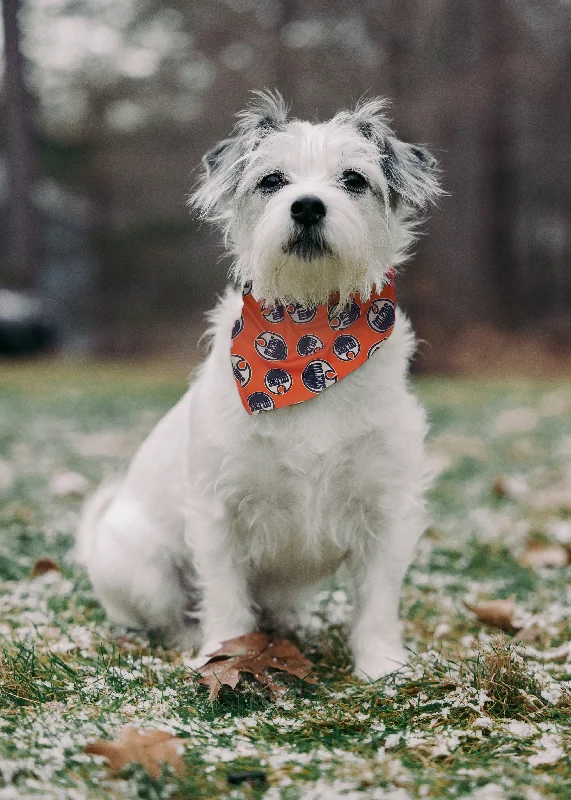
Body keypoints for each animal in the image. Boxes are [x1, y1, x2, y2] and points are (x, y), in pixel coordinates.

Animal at [77, 94, 442, 680]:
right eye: (272, 179)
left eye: (354, 179)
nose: (308, 207)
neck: (309, 337)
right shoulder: (219, 509)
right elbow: (225, 597)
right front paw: (224, 652)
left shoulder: (387, 506)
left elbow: (378, 600)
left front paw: (382, 666)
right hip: (141, 571)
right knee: (168, 616)